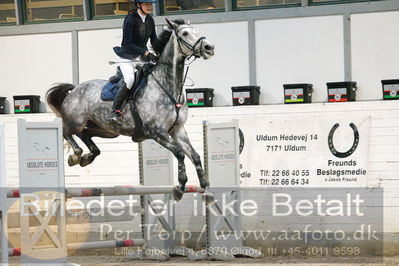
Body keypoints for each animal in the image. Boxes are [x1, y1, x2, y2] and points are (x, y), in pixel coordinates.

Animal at [46, 18, 216, 201]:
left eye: (196, 31)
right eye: (184, 33)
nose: (209, 48)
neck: (168, 85)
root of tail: (75, 89)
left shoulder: (177, 130)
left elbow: (195, 156)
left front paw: (205, 187)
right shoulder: (156, 131)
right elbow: (179, 153)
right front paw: (179, 188)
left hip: (106, 130)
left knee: (85, 135)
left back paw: (87, 157)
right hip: (76, 121)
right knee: (66, 131)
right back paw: (76, 156)